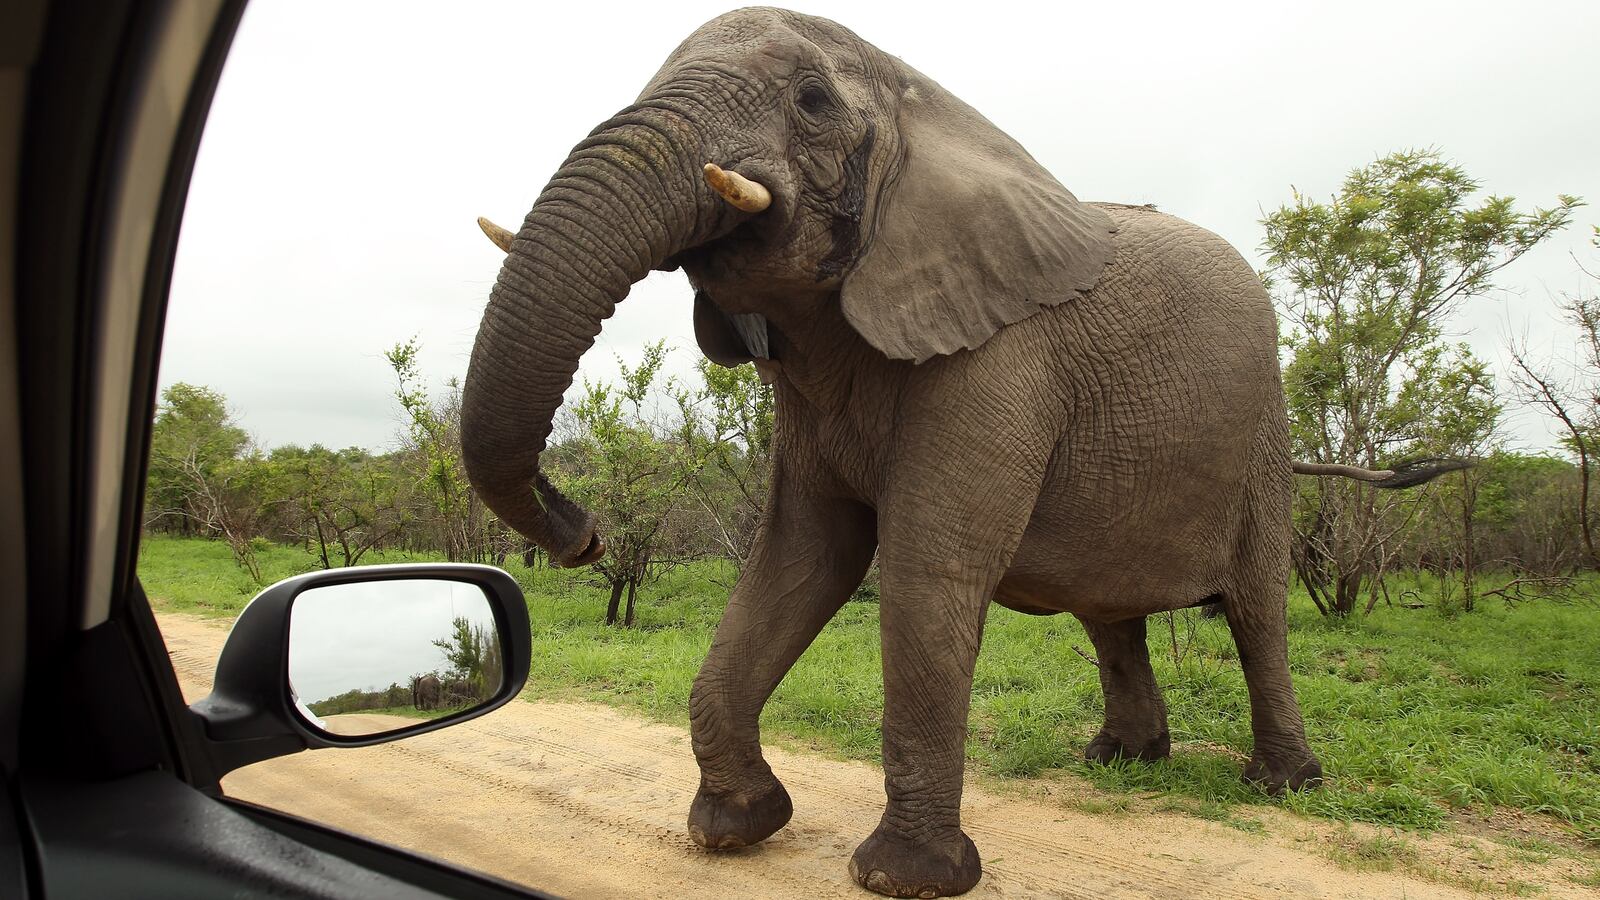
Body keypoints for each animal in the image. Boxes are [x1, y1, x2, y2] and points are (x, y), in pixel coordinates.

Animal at [461, 9, 1465, 896]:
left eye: (812, 101)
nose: (586, 532)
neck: (922, 100)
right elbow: (800, 559)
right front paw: (737, 828)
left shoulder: (999, 360)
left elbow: (925, 568)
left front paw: (903, 881)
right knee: (1112, 614)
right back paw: (1122, 763)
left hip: (1260, 435)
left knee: (1258, 612)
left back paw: (1283, 784)